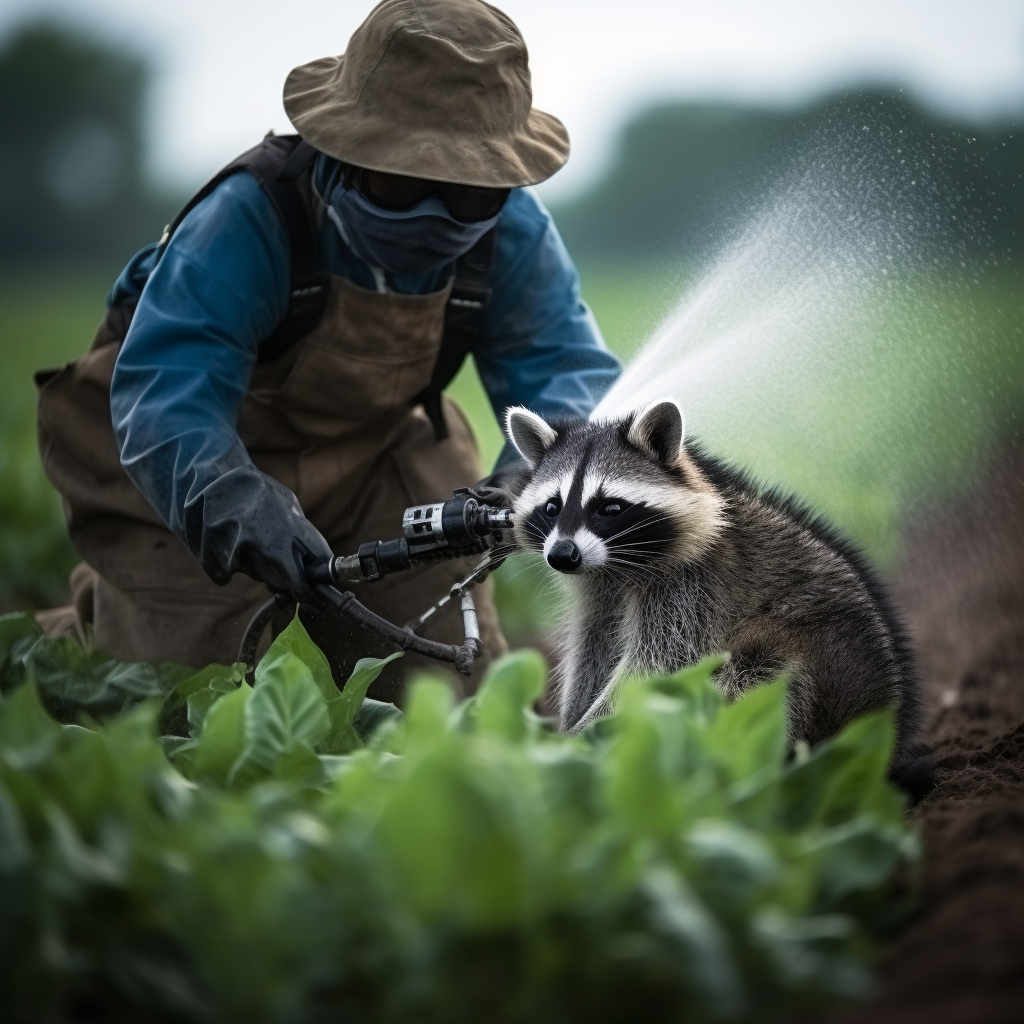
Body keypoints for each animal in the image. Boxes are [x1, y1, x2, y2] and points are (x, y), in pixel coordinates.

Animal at [507, 399, 933, 798]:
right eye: (552, 506)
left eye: (609, 507)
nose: (562, 555)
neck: (617, 565)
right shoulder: (601, 591)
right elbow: (593, 653)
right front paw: (568, 728)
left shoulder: (691, 587)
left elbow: (656, 667)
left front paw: (578, 740)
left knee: (758, 675)